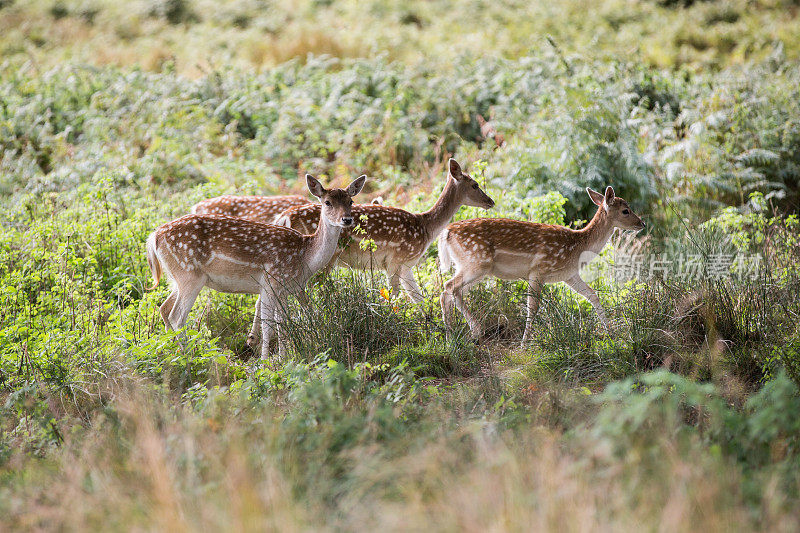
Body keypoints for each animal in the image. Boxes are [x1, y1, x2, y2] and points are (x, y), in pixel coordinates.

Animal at [146, 175, 366, 358]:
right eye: (327, 202)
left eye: (350, 201)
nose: (347, 219)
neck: (304, 257)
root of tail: (154, 237)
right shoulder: (269, 282)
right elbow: (268, 326)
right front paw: (265, 361)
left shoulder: (284, 289)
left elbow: (282, 324)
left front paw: (284, 358)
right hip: (190, 275)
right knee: (177, 317)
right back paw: (188, 356)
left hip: (177, 277)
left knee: (164, 308)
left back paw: (172, 352)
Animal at [278, 158, 496, 302]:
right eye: (475, 184)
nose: (491, 201)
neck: (425, 228)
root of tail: (284, 218)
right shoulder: (395, 260)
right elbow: (394, 296)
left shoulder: (407, 265)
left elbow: (418, 299)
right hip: (323, 259)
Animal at [440, 186, 648, 340]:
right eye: (625, 210)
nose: (642, 223)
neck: (577, 249)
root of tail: (446, 232)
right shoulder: (538, 270)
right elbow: (533, 307)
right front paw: (525, 343)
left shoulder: (569, 275)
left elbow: (592, 295)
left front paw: (611, 332)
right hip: (477, 262)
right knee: (449, 287)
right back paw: (471, 331)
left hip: (476, 268)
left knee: (452, 291)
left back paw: (453, 336)